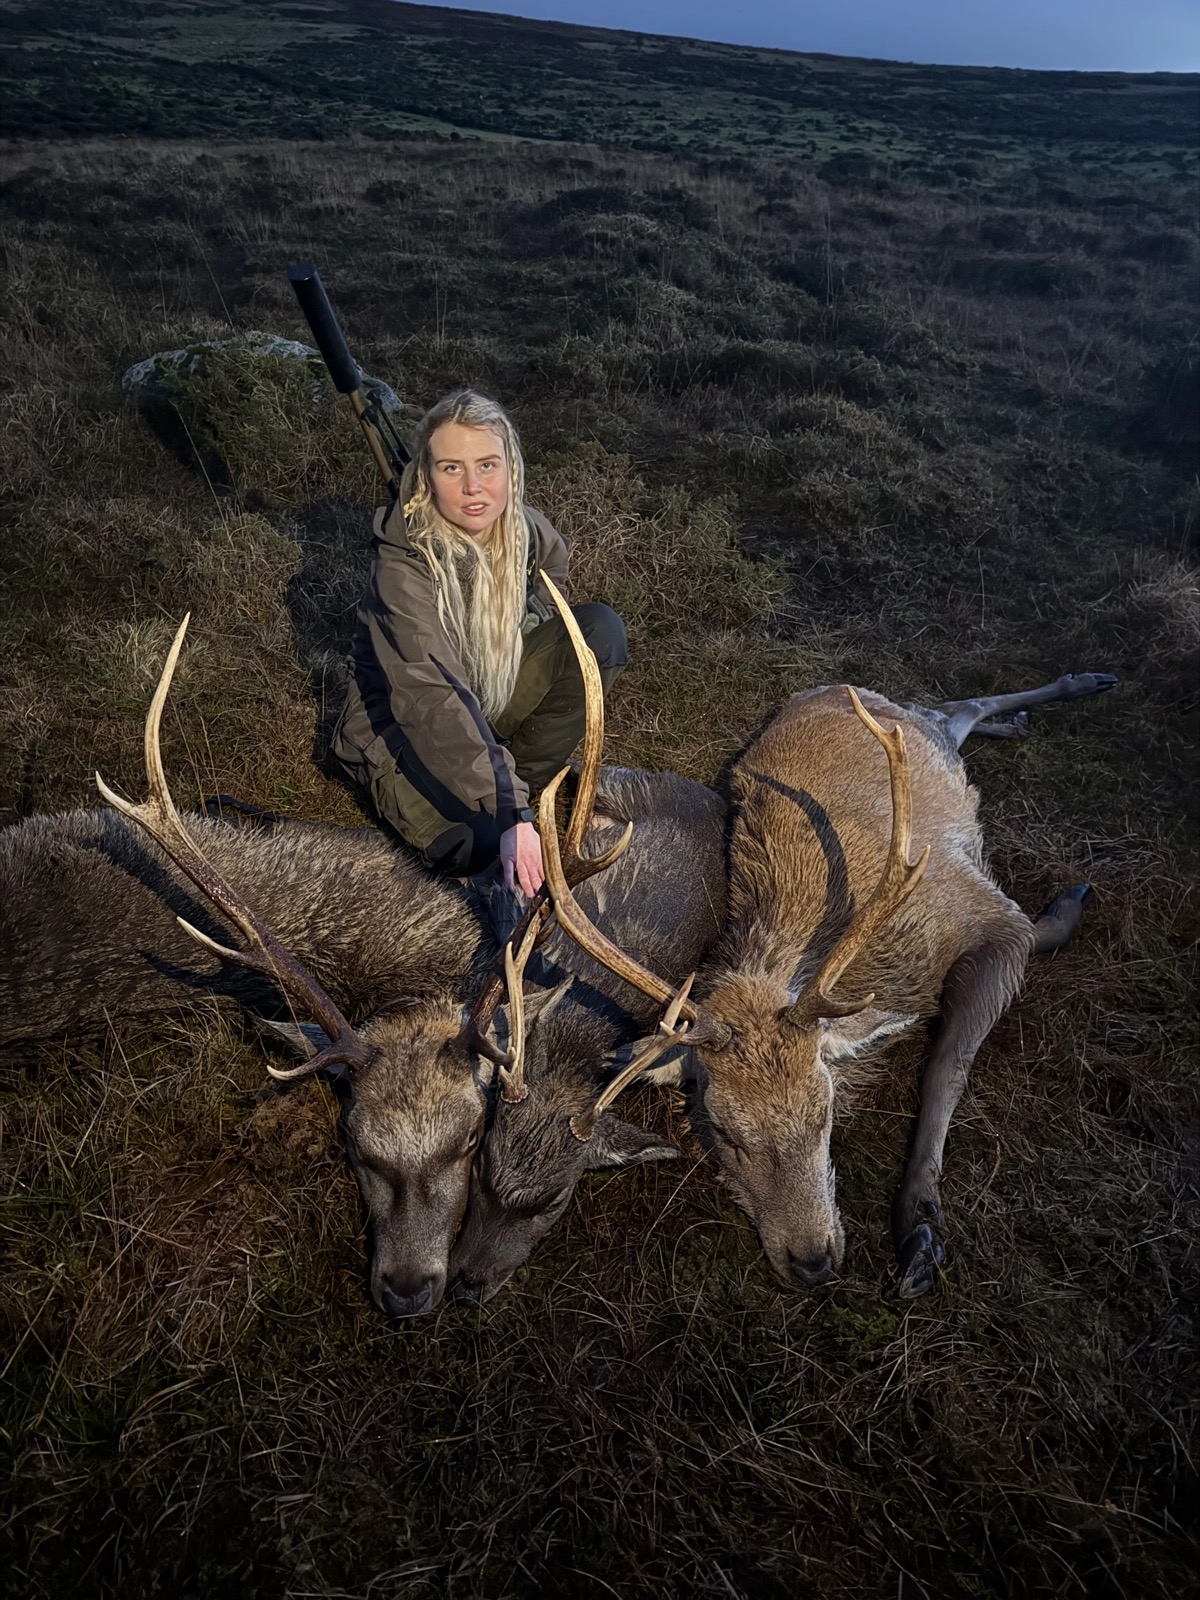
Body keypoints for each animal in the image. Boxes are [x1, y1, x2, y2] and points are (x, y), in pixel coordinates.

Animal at [537, 670, 1117, 1298]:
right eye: (722, 1128)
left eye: (827, 1109)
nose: (813, 1261)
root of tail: (832, 687)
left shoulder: (989, 916)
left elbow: (947, 1066)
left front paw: (919, 1229)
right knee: (956, 710)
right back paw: (1027, 718)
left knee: (959, 706)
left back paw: (1079, 687)